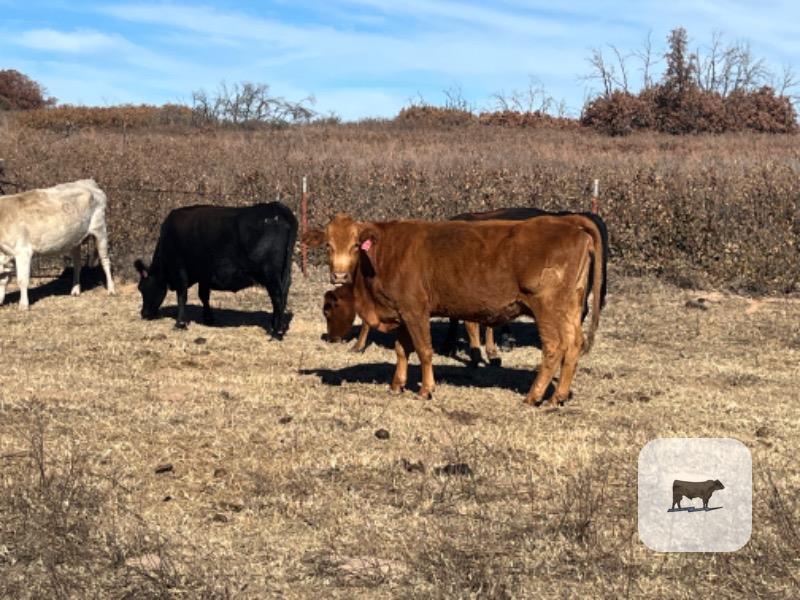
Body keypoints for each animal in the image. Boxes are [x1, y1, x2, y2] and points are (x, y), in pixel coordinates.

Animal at [0, 179, 115, 309]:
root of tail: (88, 182)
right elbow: (3, 281)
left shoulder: (23, 252)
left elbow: (22, 280)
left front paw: (23, 305)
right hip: (75, 240)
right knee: (77, 264)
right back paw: (75, 290)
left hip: (100, 230)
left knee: (105, 261)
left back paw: (111, 290)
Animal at [133, 202, 297, 338]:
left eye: (142, 288)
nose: (144, 313)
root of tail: (276, 207)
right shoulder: (205, 275)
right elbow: (203, 295)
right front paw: (208, 318)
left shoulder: (180, 271)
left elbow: (182, 297)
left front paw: (180, 324)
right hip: (284, 273)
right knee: (283, 295)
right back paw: (274, 326)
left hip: (270, 274)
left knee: (277, 297)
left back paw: (277, 333)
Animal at [304, 213, 604, 406]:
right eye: (329, 245)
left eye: (356, 245)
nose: (339, 275)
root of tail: (568, 223)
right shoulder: (400, 312)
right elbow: (401, 350)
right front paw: (397, 384)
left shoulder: (415, 309)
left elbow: (424, 350)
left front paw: (426, 389)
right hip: (571, 307)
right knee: (574, 345)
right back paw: (557, 397)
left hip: (547, 307)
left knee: (554, 348)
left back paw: (534, 396)